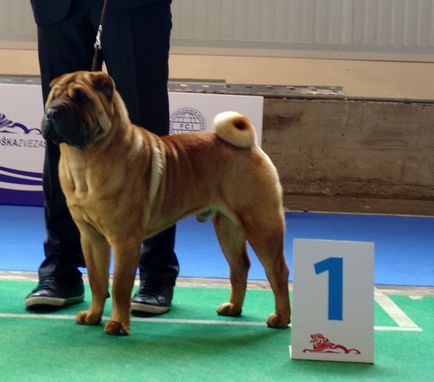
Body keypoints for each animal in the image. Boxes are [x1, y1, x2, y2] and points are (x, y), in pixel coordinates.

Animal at [41, 71, 292, 334]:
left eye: (82, 98)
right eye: (52, 97)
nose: (52, 112)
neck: (84, 160)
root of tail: (251, 146)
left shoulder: (124, 241)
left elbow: (119, 285)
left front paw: (118, 324)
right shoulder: (91, 238)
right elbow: (97, 280)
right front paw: (92, 316)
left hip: (261, 225)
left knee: (277, 271)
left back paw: (281, 318)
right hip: (228, 229)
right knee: (239, 266)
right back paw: (233, 307)